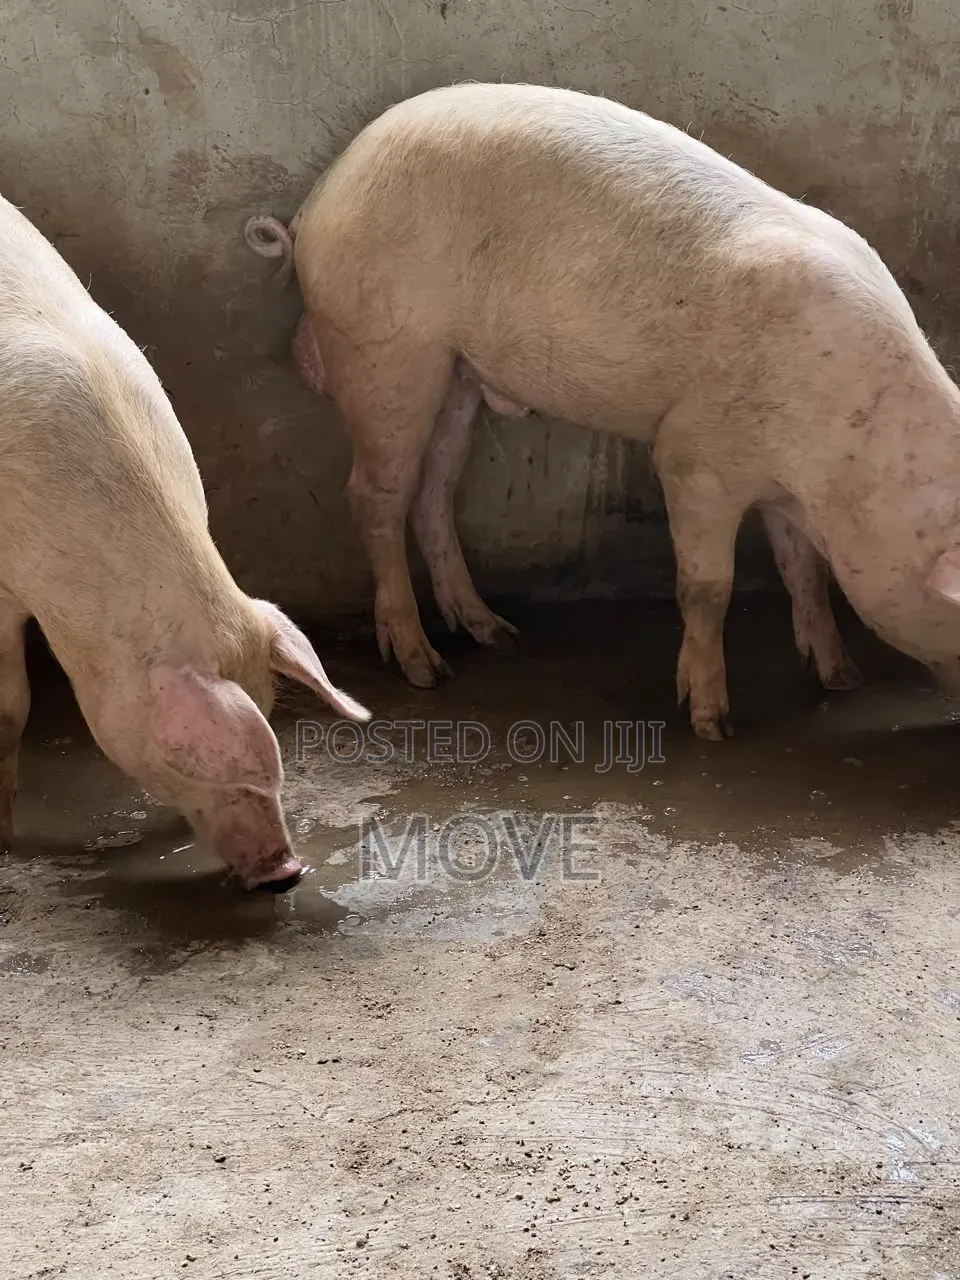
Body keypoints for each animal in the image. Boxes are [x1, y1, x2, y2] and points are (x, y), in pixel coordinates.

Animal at [244, 82, 960, 741]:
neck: (844, 463)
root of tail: (318, 200)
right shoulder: (693, 458)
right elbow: (708, 587)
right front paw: (713, 725)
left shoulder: (780, 482)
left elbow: (803, 571)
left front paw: (840, 678)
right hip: (387, 351)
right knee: (373, 496)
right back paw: (424, 668)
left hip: (456, 372)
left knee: (434, 490)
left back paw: (494, 633)